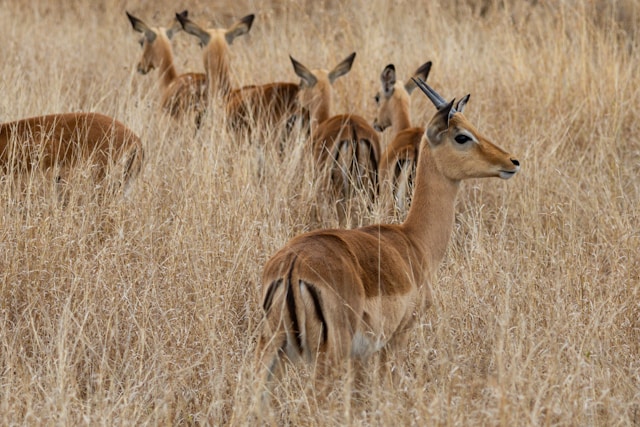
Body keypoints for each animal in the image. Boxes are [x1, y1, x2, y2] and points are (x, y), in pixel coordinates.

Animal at [255, 78, 520, 390]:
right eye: (462, 137)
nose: (512, 161)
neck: (414, 240)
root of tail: (292, 267)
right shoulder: (396, 338)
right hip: (328, 357)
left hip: (271, 351)